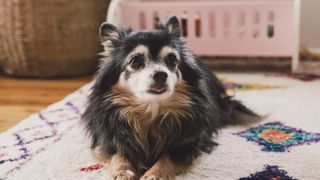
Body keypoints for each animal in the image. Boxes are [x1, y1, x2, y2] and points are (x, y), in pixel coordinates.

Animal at [82, 16, 260, 179]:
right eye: (136, 61)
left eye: (172, 60)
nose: (161, 74)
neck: (151, 109)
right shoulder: (108, 139)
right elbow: (118, 153)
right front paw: (123, 172)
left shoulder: (188, 143)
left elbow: (168, 157)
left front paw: (154, 174)